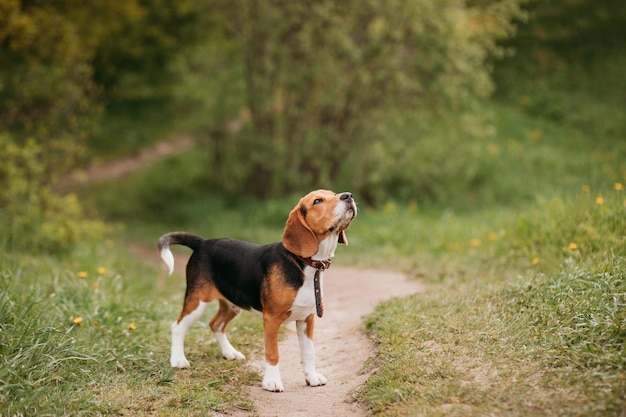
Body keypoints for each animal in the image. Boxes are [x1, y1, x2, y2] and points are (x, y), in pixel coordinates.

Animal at [156, 188, 356, 390]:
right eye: (317, 201)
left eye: (333, 193)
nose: (348, 196)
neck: (305, 263)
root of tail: (203, 243)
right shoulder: (272, 319)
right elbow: (273, 353)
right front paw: (272, 381)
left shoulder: (306, 318)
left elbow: (309, 352)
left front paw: (312, 378)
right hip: (198, 300)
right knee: (177, 326)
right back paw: (178, 360)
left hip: (232, 303)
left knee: (215, 324)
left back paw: (230, 353)